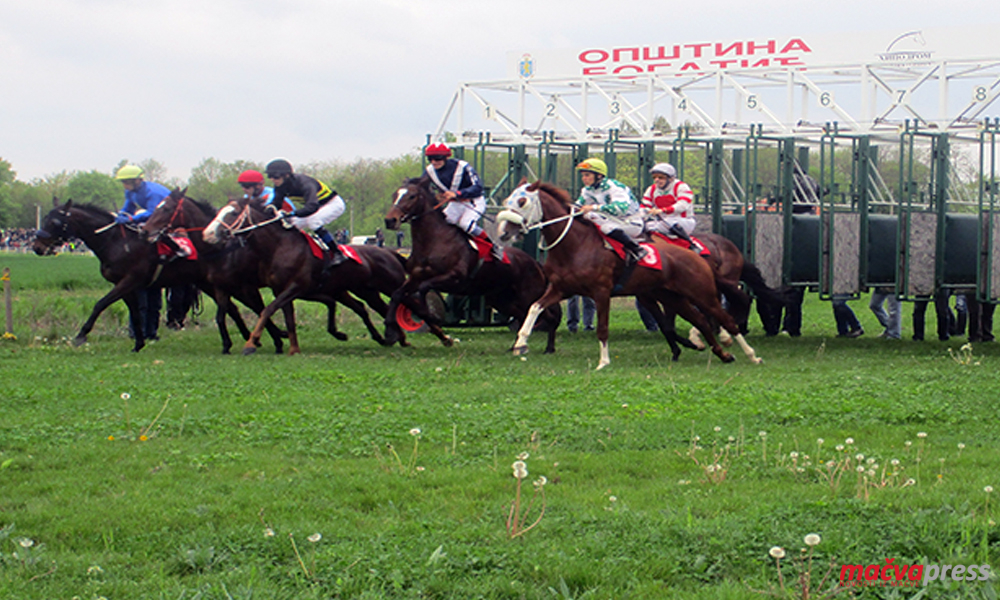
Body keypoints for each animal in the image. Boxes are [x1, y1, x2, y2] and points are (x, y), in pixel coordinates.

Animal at [201, 195, 408, 354]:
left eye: (233, 213)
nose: (207, 234)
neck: (279, 247)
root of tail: (389, 252)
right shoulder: (280, 289)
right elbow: (288, 318)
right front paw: (293, 349)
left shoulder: (294, 287)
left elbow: (268, 310)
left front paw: (251, 343)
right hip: (364, 291)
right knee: (372, 307)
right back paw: (394, 338)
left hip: (390, 285)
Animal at [382, 175, 564, 352]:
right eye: (394, 195)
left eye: (412, 196)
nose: (390, 220)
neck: (434, 241)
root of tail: (535, 263)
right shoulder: (415, 277)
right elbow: (397, 294)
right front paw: (390, 328)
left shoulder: (454, 277)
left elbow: (424, 288)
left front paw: (428, 314)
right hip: (502, 299)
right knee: (523, 316)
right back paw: (517, 346)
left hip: (529, 294)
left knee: (548, 316)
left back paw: (549, 347)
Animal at [496, 182, 760, 370]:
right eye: (508, 200)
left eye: (522, 201)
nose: (503, 233)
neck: (576, 245)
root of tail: (696, 254)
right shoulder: (561, 289)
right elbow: (534, 307)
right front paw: (520, 343)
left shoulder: (601, 292)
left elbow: (603, 328)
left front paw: (603, 362)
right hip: (673, 296)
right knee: (702, 321)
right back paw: (723, 354)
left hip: (702, 292)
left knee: (724, 317)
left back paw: (751, 354)